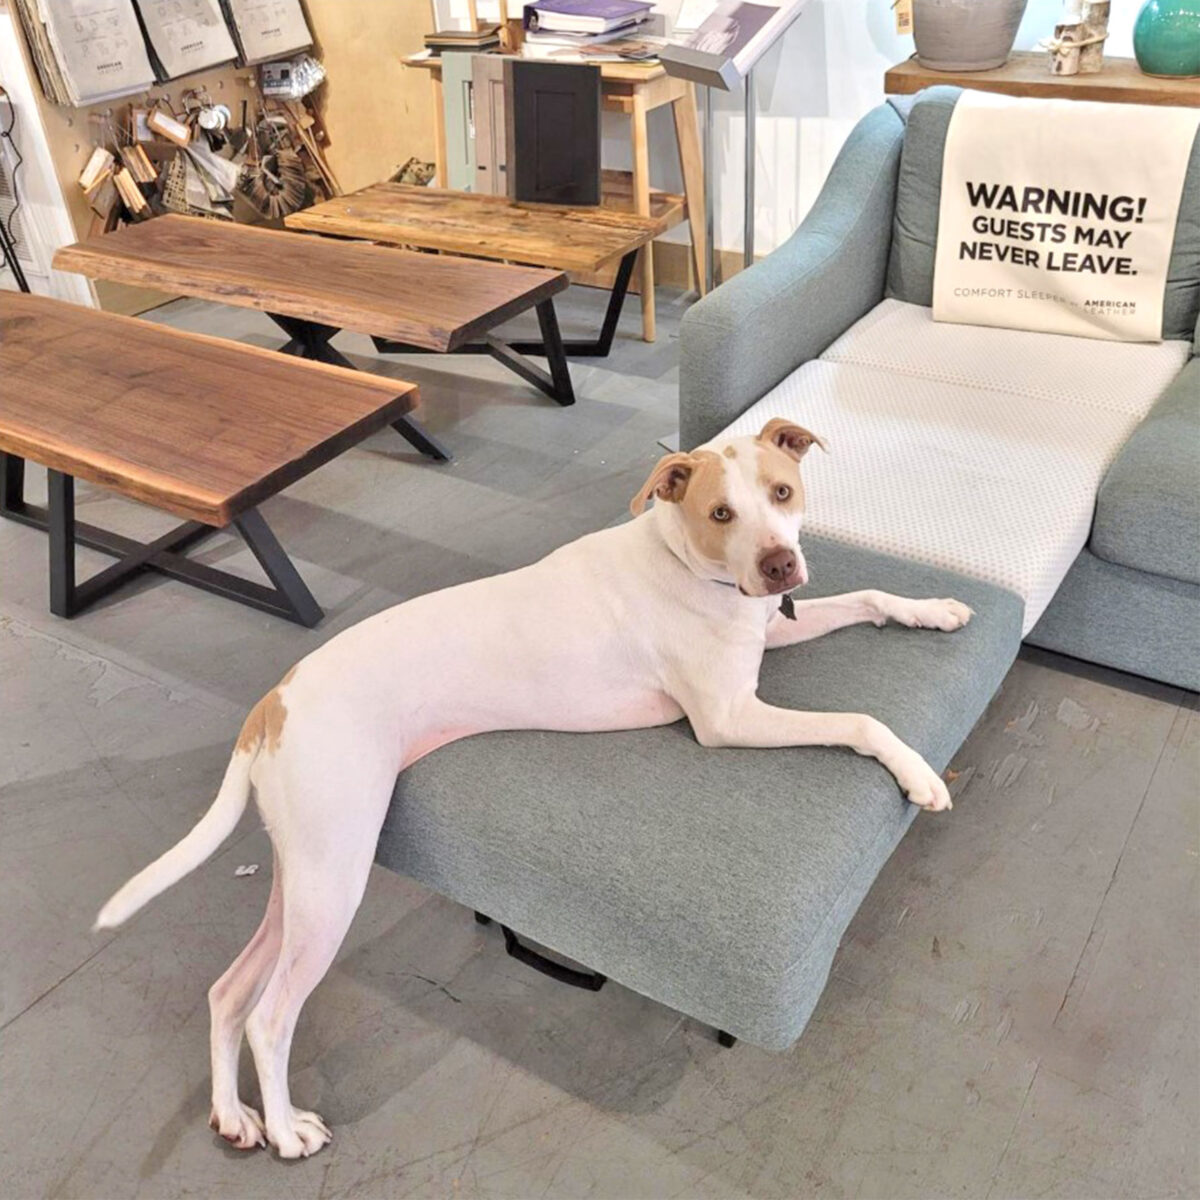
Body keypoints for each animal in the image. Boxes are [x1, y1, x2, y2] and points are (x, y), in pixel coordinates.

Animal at [96, 420, 974, 1152]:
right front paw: (919, 775)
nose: (779, 565)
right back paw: (285, 1130)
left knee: (227, 992)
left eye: (783, 494)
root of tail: (272, 700)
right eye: (721, 513)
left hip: (306, 873)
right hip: (334, 877)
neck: (686, 564)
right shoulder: (729, 718)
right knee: (271, 1016)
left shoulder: (774, 631)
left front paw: (934, 608)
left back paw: (235, 1117)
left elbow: (866, 596)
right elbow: (860, 719)